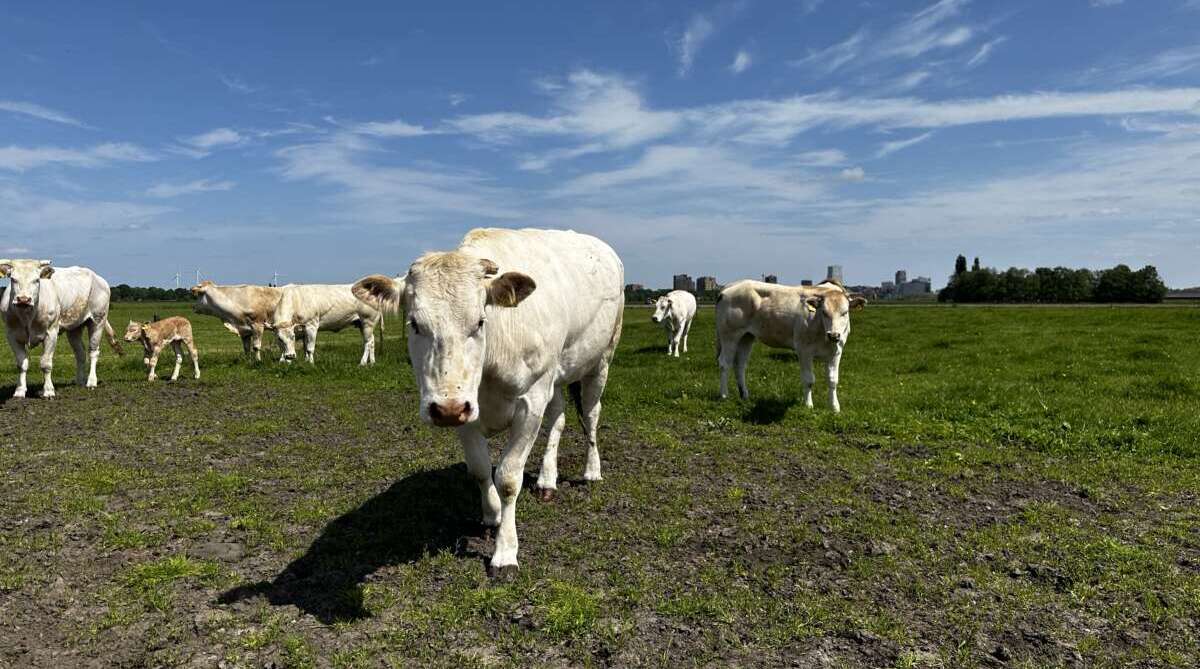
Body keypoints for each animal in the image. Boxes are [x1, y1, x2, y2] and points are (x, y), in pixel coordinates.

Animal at [0, 261, 123, 398]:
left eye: (37, 280)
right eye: (13, 279)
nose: (23, 299)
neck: (27, 315)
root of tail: (98, 278)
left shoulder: (51, 332)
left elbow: (46, 363)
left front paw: (48, 391)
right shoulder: (12, 335)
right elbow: (22, 363)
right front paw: (20, 391)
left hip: (97, 321)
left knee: (93, 351)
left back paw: (91, 382)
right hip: (75, 328)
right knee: (80, 354)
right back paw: (80, 381)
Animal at [350, 228, 624, 577]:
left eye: (480, 321)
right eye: (414, 324)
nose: (446, 409)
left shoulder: (531, 401)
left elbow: (507, 478)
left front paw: (505, 551)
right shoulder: (465, 408)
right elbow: (480, 469)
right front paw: (492, 514)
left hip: (601, 359)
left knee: (590, 415)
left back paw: (591, 470)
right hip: (556, 373)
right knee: (559, 418)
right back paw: (547, 479)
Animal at [715, 279, 868, 414]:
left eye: (845, 312)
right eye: (824, 312)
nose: (834, 335)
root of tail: (731, 286)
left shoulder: (836, 352)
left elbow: (833, 380)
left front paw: (834, 407)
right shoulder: (804, 350)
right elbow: (808, 379)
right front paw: (808, 405)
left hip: (746, 336)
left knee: (740, 365)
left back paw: (745, 395)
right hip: (729, 335)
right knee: (724, 363)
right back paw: (724, 395)